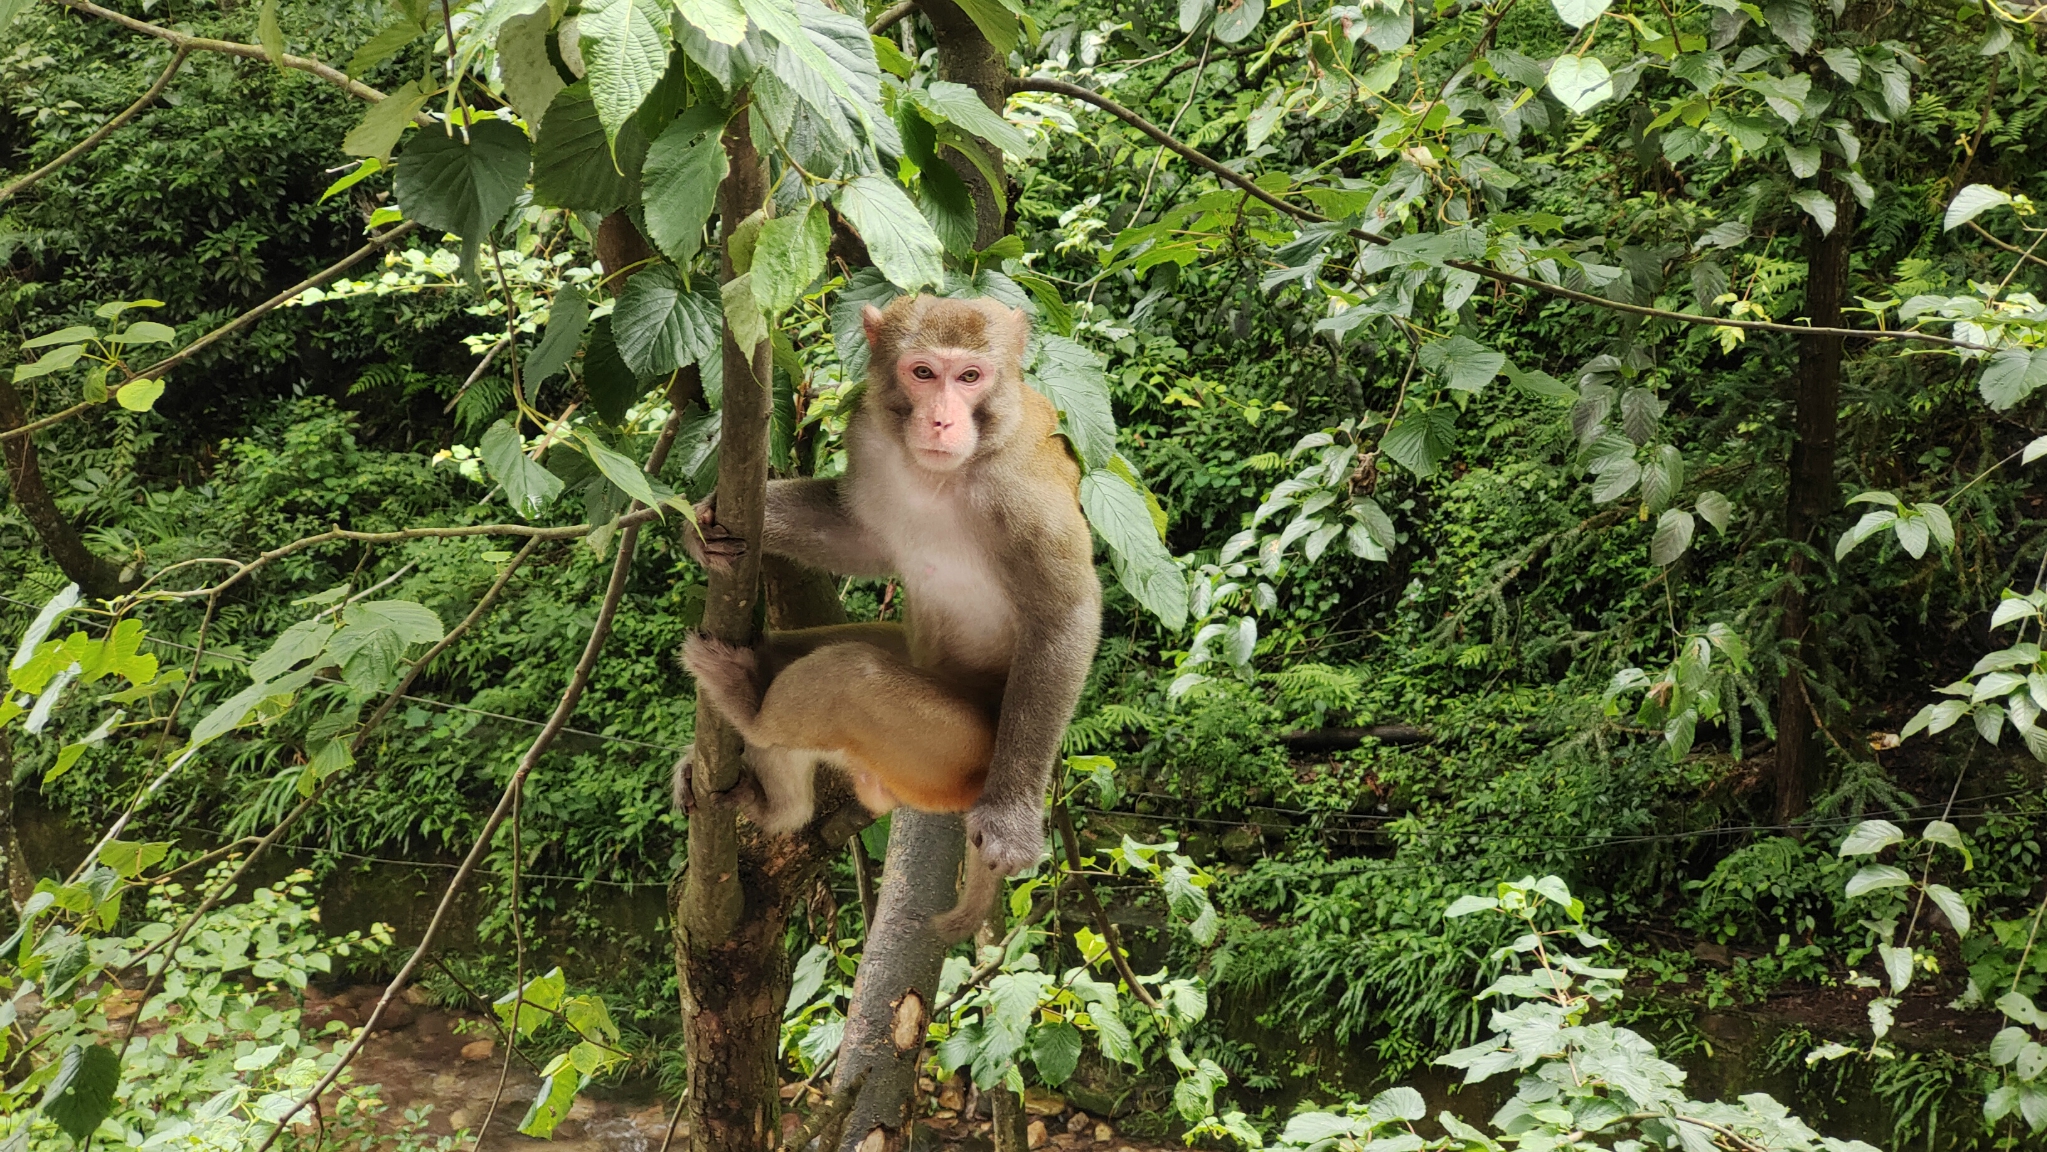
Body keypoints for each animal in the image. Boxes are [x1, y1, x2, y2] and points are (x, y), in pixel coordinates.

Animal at [679, 292, 1105, 941]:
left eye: (970, 377)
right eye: (922, 372)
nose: (942, 420)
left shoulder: (1021, 488)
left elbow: (1065, 614)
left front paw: (1011, 825)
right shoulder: (870, 434)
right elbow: (860, 537)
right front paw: (706, 524)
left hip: (955, 752)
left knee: (851, 676)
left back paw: (747, 699)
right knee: (800, 655)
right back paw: (773, 799)